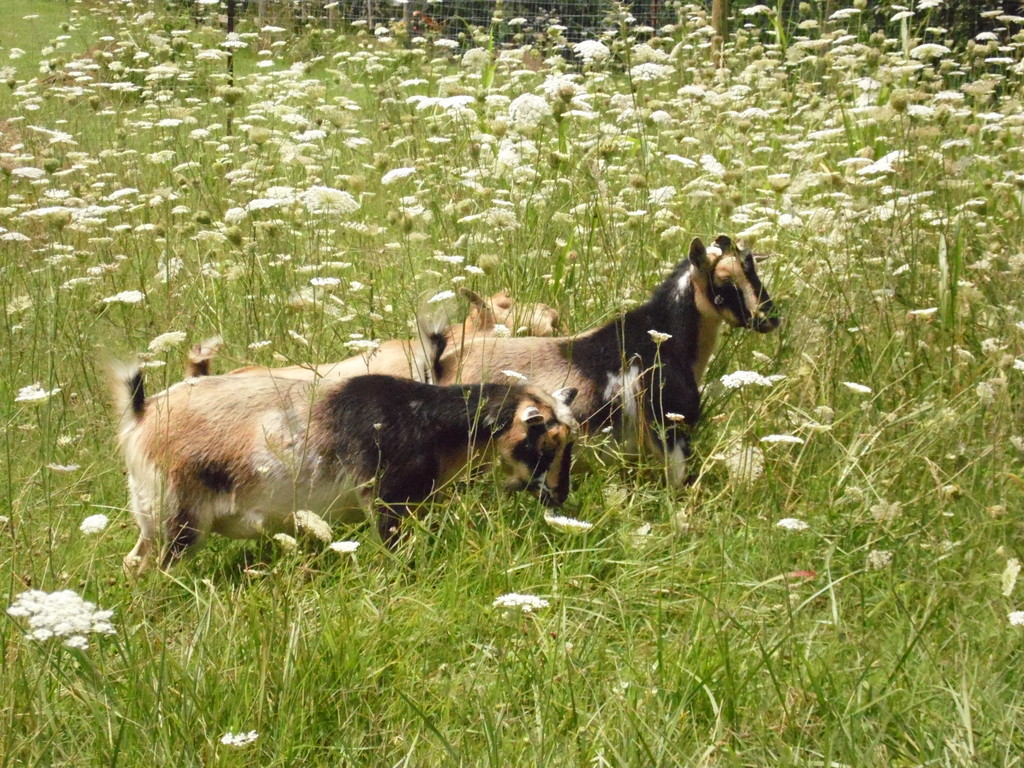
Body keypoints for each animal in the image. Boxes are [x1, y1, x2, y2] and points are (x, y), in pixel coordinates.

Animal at [110, 360, 578, 572]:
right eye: (547, 443)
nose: (560, 495)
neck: (425, 419)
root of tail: (142, 415)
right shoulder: (389, 502)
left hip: (153, 515)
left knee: (134, 561)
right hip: (180, 517)